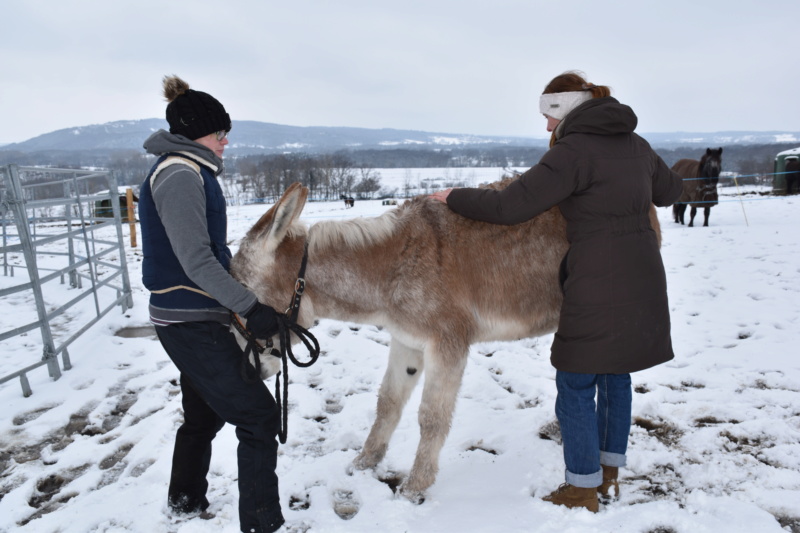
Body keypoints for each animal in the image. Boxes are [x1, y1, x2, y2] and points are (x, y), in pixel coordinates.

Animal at [231, 180, 664, 502]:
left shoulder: (447, 344)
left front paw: (415, 487)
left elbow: (431, 417)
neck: (390, 268)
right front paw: (365, 462)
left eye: (243, 301)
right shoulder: (406, 341)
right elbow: (388, 403)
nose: (253, 369)